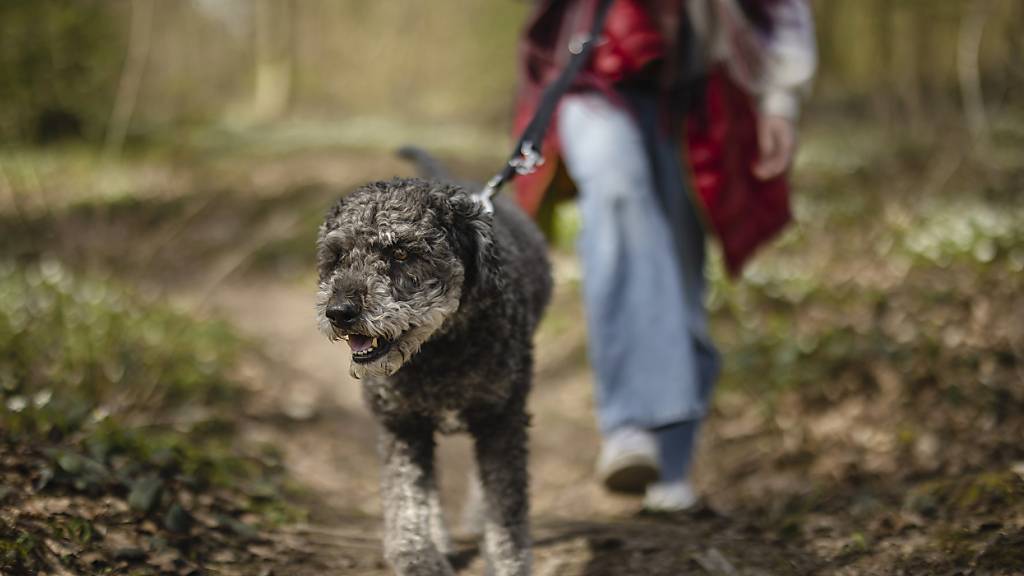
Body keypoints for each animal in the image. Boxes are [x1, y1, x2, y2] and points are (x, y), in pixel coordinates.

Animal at [315, 152, 552, 573]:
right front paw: (417, 555)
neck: (440, 349)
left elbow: (506, 507)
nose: (339, 312)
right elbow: (408, 495)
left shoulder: (502, 417)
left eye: (401, 253)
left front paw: (507, 561)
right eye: (338, 255)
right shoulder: (402, 423)